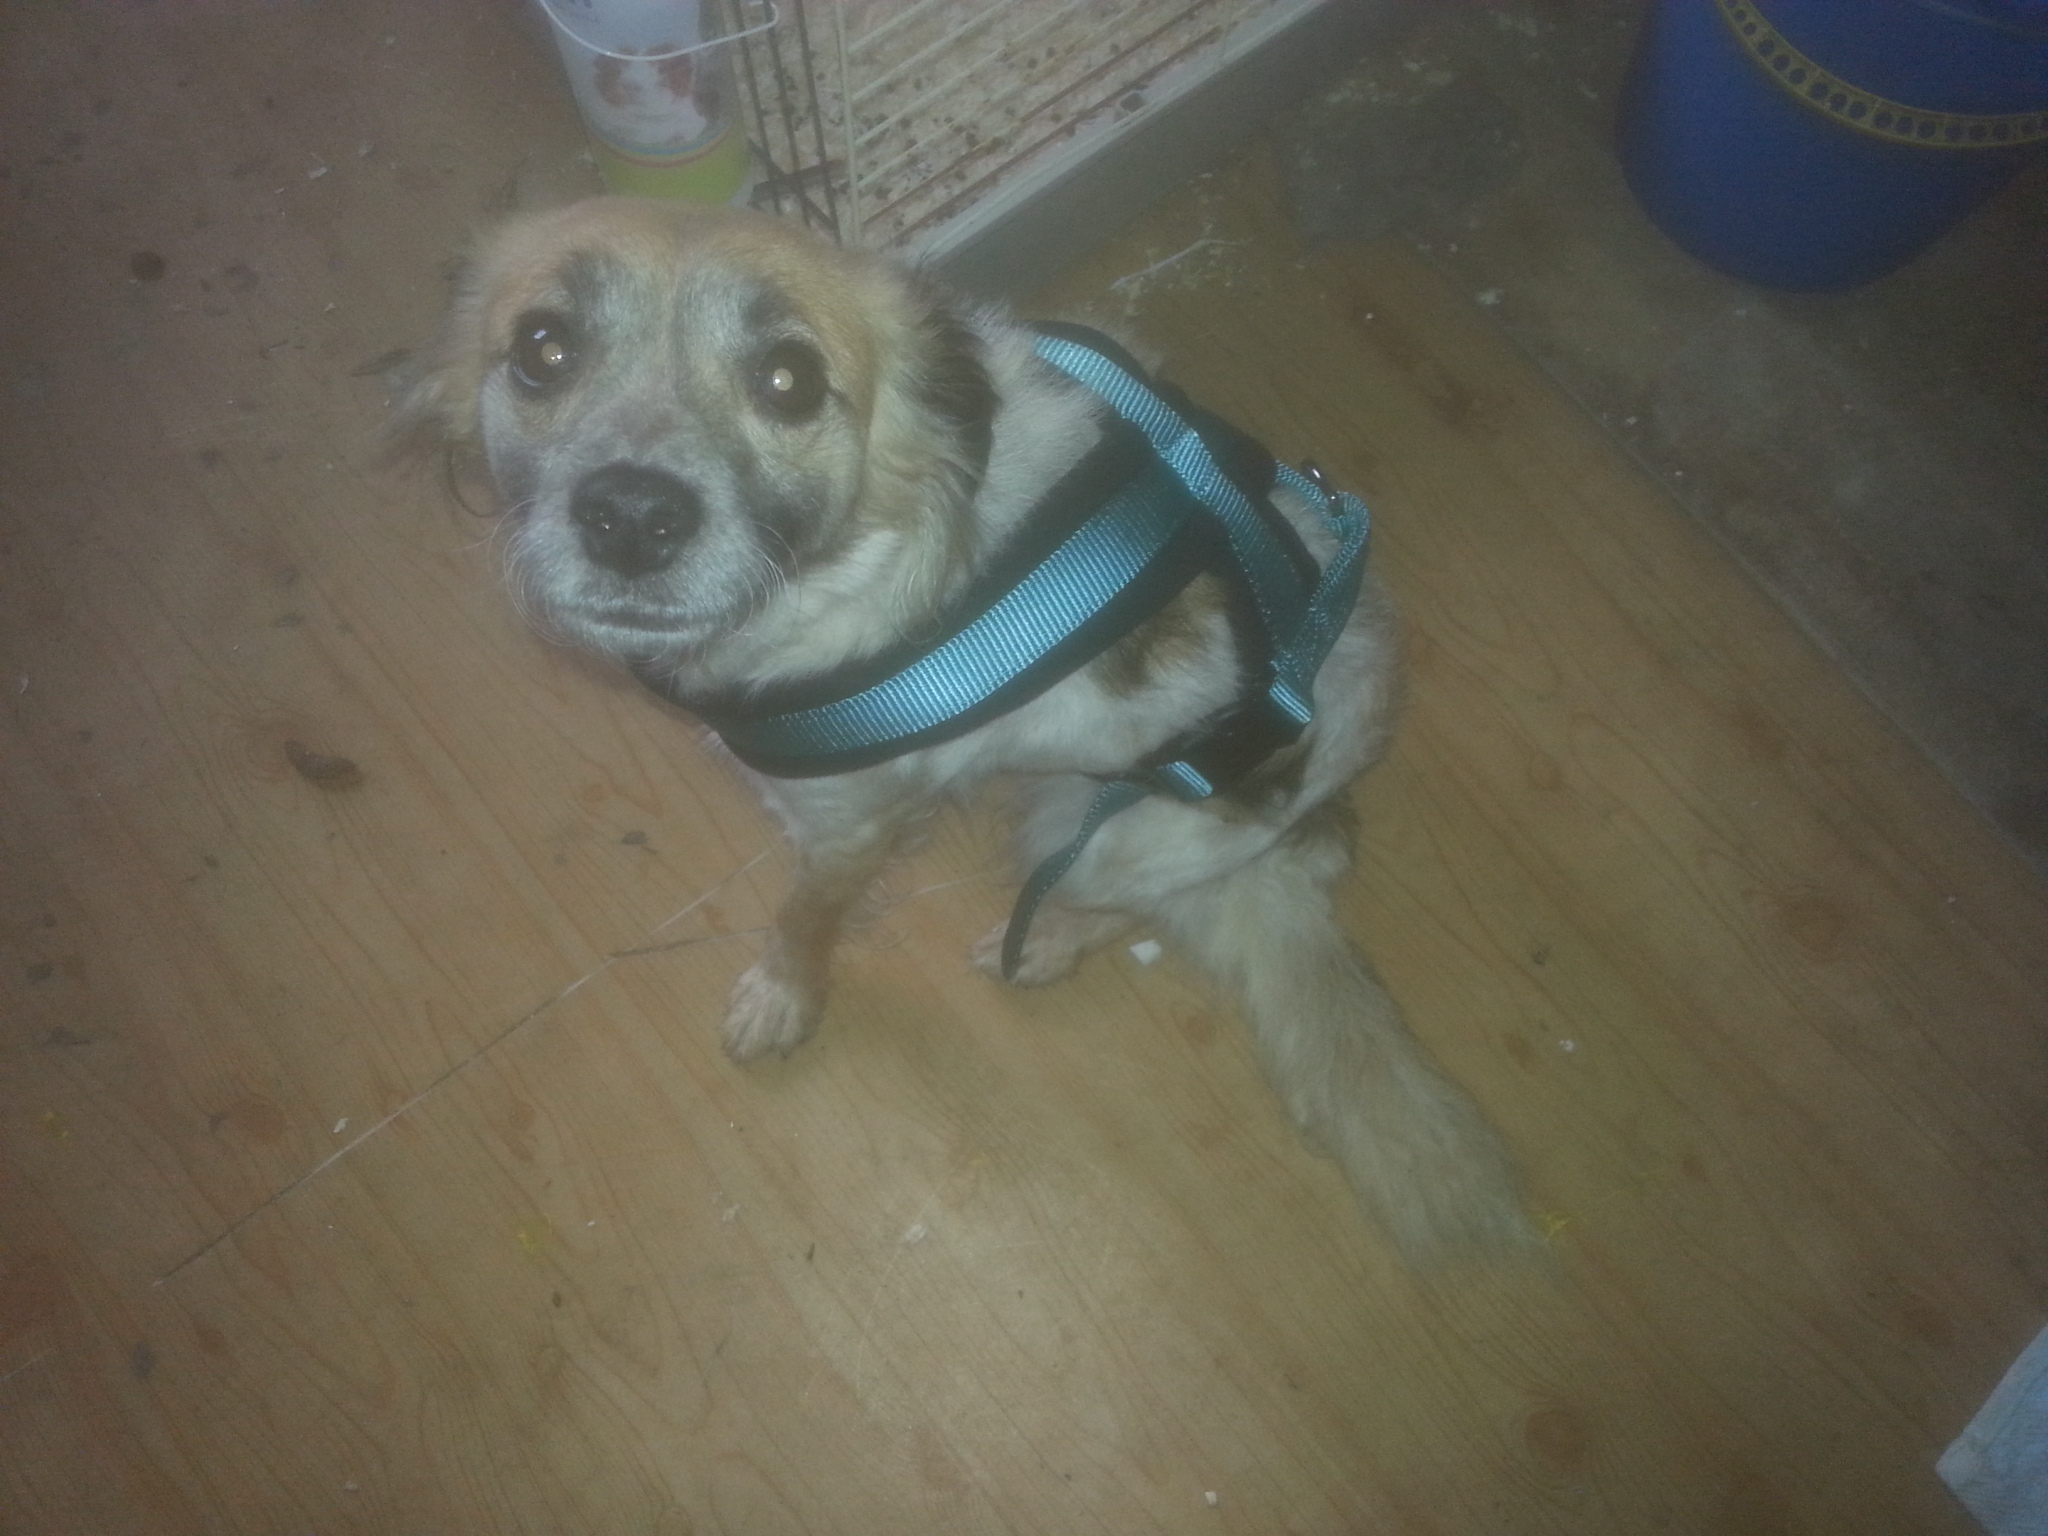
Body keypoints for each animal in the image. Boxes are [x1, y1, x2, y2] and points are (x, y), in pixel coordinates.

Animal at [391, 196, 1528, 1262]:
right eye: (543, 348)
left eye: (789, 379)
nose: (630, 517)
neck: (864, 552)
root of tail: (1308, 827)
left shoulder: (847, 825)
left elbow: (801, 919)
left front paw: (782, 997)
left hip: (1103, 834)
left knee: (1127, 903)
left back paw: (1046, 942)